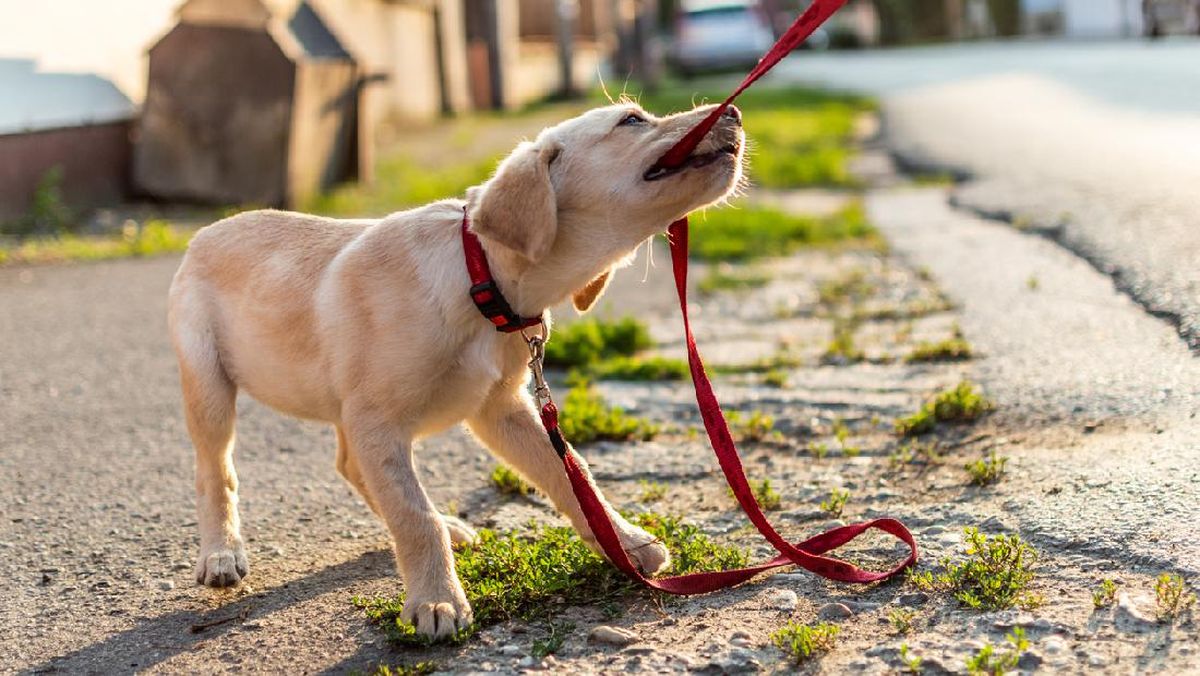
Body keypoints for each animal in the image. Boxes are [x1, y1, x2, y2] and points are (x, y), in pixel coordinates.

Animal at [165, 102, 744, 638]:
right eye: (632, 121)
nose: (735, 111)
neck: (479, 279)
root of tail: (204, 233)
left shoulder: (500, 409)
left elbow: (571, 473)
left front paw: (623, 541)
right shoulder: (379, 419)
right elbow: (413, 516)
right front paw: (436, 601)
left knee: (351, 466)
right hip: (211, 386)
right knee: (215, 471)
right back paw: (221, 554)